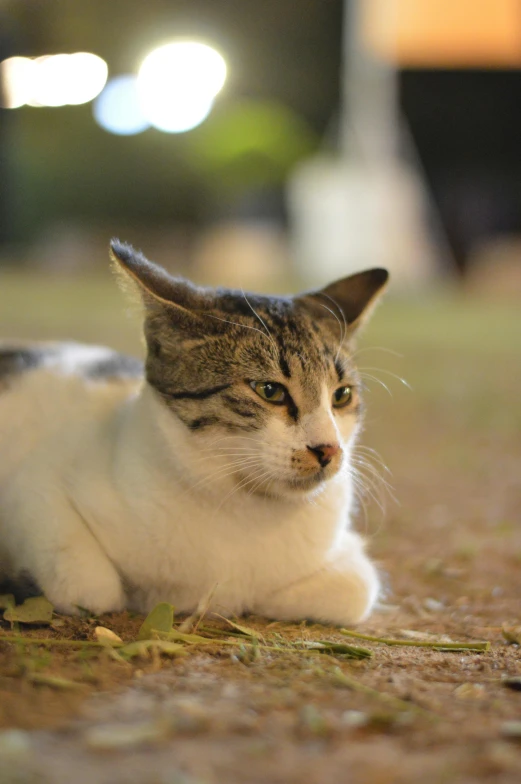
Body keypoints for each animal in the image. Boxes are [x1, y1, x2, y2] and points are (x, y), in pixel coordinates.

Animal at [0, 239, 388, 624]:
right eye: (269, 390)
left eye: (342, 395)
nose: (329, 449)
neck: (240, 508)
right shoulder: (33, 489)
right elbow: (91, 588)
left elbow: (356, 589)